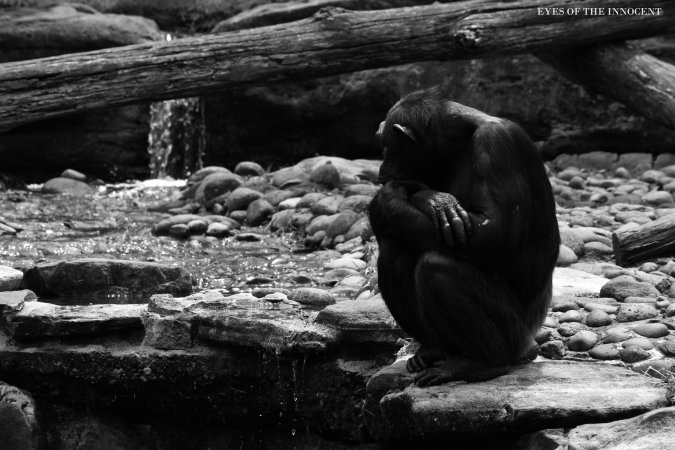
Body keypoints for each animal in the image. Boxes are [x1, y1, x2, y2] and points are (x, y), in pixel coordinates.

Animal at [370, 87, 560, 386]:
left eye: (386, 146)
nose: (381, 170)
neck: (458, 143)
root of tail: (530, 343)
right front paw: (433, 199)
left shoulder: (497, 144)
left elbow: (495, 233)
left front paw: (387, 201)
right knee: (394, 250)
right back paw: (434, 350)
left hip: (515, 335)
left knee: (437, 268)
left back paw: (481, 363)